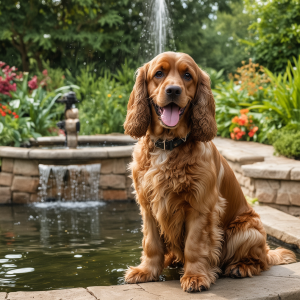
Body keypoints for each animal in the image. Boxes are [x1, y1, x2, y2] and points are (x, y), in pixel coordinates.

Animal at [122, 52, 296, 292]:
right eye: (159, 73)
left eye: (187, 75)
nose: (173, 90)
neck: (168, 145)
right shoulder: (147, 205)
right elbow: (151, 244)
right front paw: (146, 271)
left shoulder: (200, 206)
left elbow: (194, 246)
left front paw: (195, 276)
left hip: (246, 230)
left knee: (260, 261)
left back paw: (241, 267)